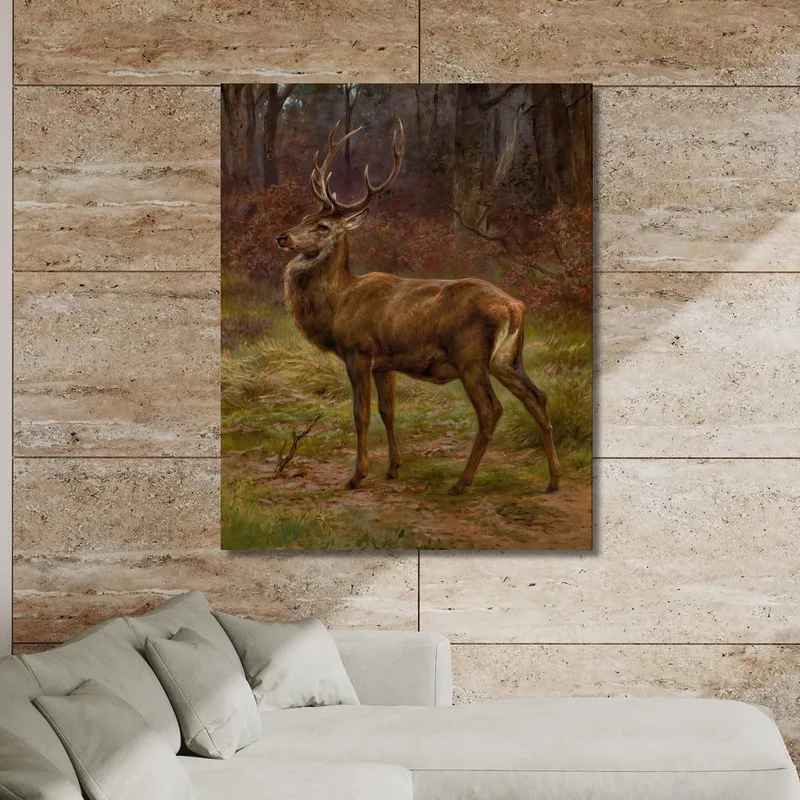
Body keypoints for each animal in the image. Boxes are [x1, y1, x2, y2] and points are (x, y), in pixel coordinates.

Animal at [275, 119, 561, 496]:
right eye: (305, 217)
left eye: (322, 226)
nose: (283, 237)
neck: (339, 303)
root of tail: (515, 307)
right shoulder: (384, 363)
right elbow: (388, 411)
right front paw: (394, 468)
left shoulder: (359, 351)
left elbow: (360, 413)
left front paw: (356, 476)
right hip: (508, 359)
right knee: (538, 398)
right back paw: (553, 480)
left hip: (471, 357)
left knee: (491, 411)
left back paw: (461, 482)